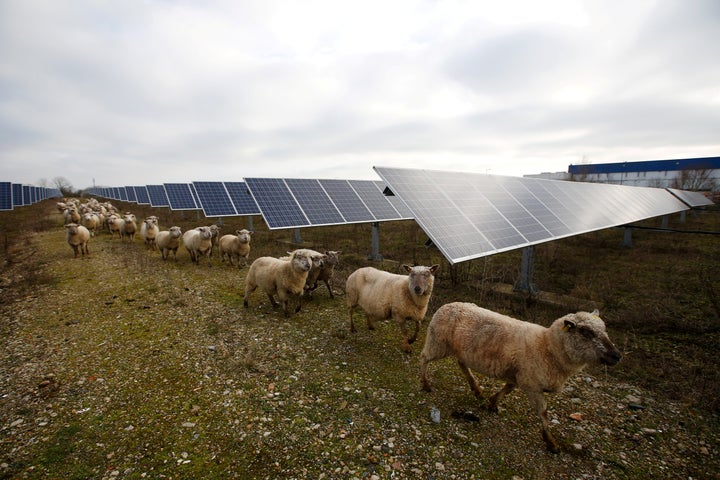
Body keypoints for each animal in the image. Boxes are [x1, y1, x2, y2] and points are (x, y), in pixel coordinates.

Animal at [420, 304, 620, 454]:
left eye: (604, 330)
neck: (548, 346)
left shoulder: (520, 376)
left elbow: (508, 388)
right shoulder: (532, 385)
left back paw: (476, 389)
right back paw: (425, 383)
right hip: (438, 342)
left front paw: (493, 403)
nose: (617, 356)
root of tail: (447, 305)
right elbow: (543, 413)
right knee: (424, 358)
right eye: (586, 332)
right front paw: (551, 443)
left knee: (462, 365)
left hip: (461, 350)